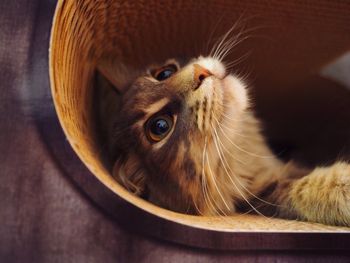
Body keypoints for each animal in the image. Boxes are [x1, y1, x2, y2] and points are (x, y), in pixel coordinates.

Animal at [95, 52, 350, 228]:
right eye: (160, 126)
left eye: (165, 73)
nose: (200, 73)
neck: (247, 155)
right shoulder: (262, 195)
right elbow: (310, 186)